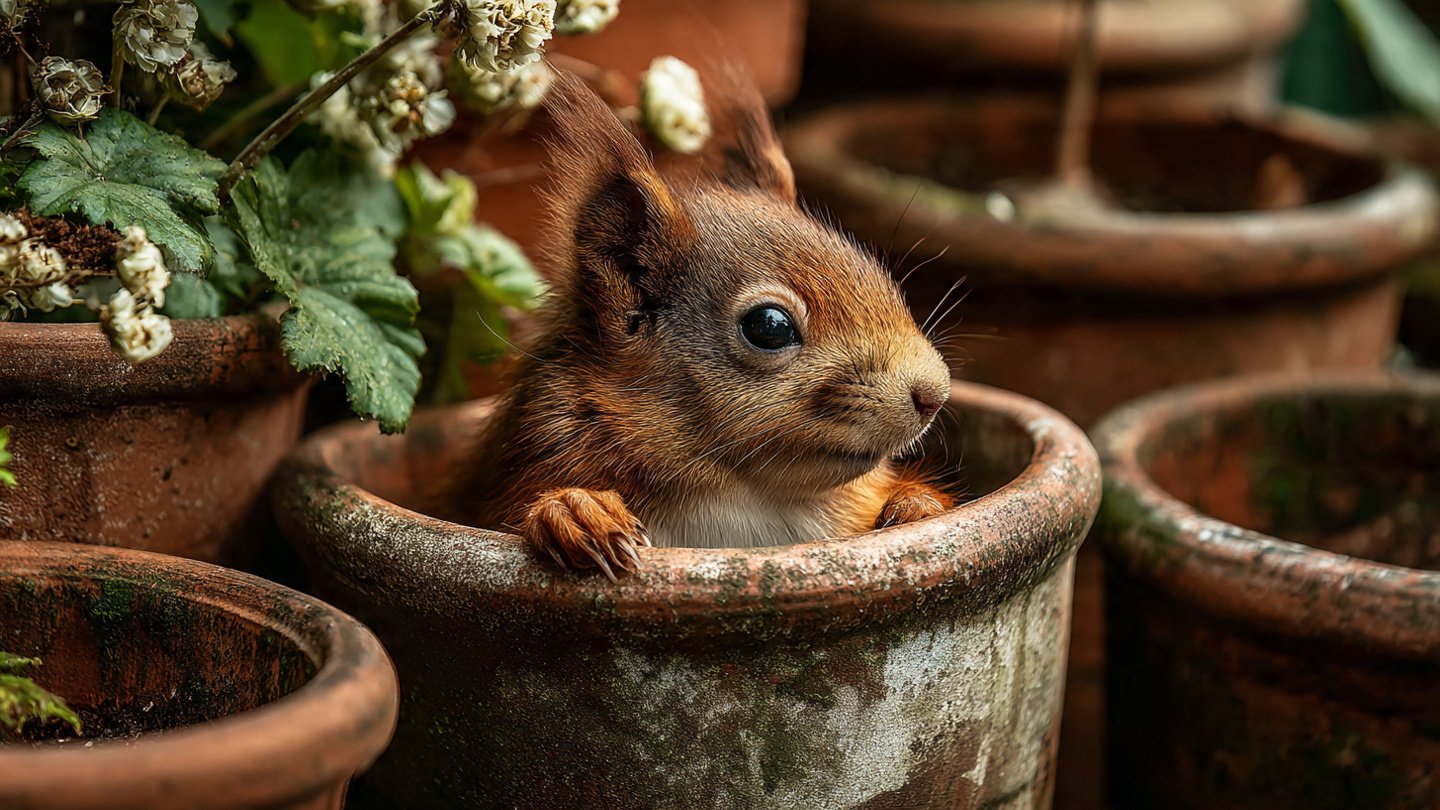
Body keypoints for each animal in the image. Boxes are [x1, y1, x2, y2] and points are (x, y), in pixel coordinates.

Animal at [455, 69, 954, 579]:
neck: (741, 499)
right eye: (769, 326)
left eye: (877, 272)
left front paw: (915, 506)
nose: (934, 394)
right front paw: (578, 511)